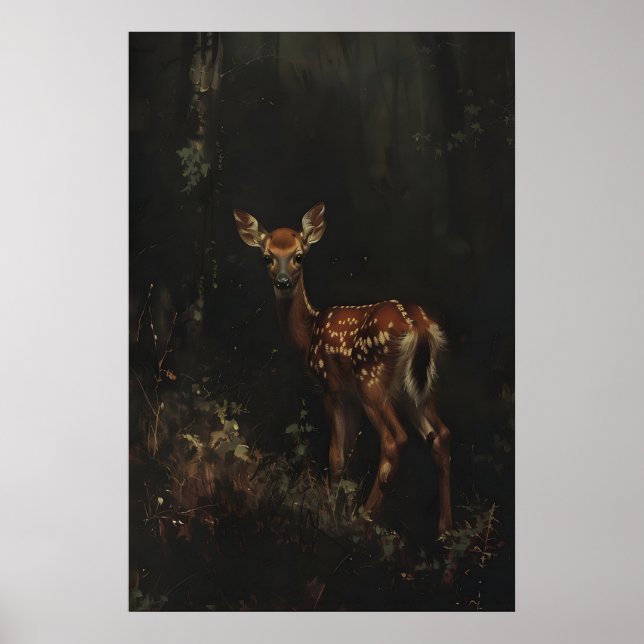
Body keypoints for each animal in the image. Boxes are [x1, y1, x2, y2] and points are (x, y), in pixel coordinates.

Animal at [234, 203, 452, 534]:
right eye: (267, 257)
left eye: (299, 255)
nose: (283, 281)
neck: (308, 332)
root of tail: (419, 325)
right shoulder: (350, 396)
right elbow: (348, 453)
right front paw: (337, 504)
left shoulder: (332, 387)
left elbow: (336, 455)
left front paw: (329, 511)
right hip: (416, 388)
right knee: (440, 436)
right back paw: (445, 530)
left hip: (370, 379)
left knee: (395, 439)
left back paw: (363, 518)